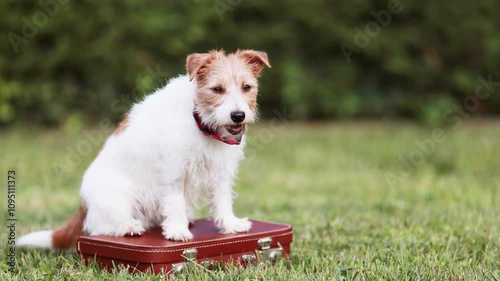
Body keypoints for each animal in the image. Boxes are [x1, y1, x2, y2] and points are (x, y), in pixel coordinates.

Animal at [16, 49, 270, 248]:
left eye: (246, 87)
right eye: (217, 89)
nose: (238, 116)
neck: (200, 120)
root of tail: (83, 206)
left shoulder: (221, 171)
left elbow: (223, 200)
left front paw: (230, 224)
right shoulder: (174, 173)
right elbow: (175, 202)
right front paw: (177, 231)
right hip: (118, 197)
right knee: (100, 226)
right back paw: (129, 226)